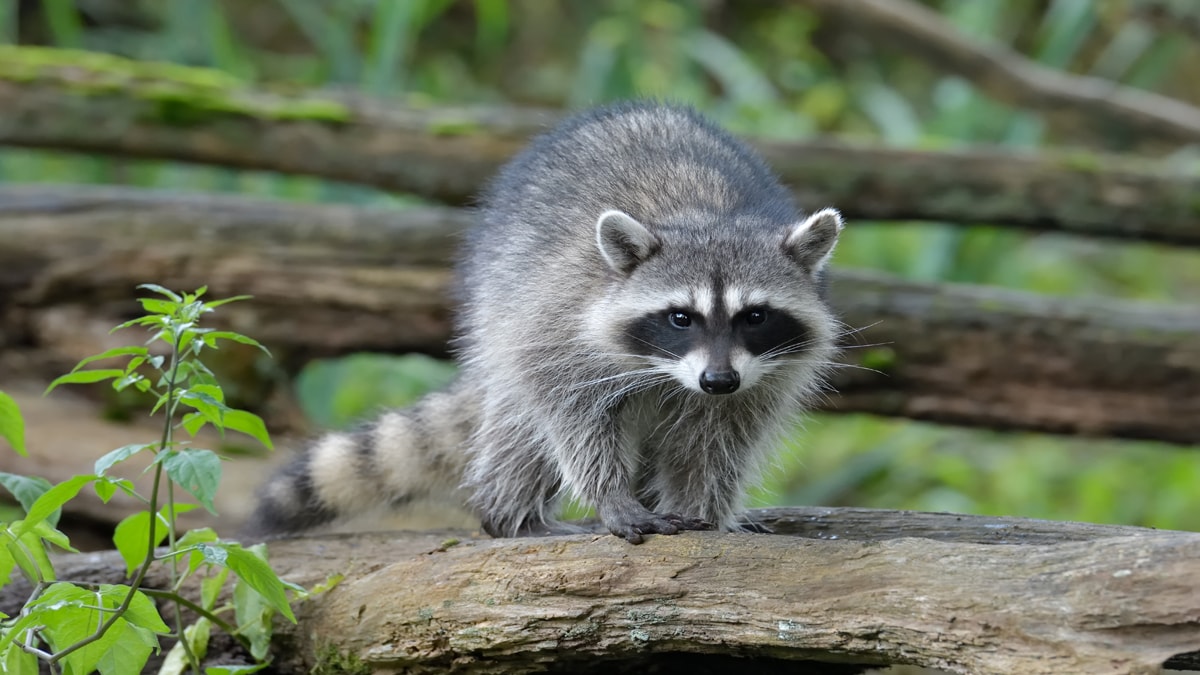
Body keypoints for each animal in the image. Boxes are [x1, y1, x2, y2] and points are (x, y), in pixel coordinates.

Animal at [250, 100, 844, 540]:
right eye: (681, 317)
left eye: (755, 316)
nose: (718, 380)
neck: (708, 218)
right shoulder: (560, 322)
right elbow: (570, 414)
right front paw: (610, 496)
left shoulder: (764, 375)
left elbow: (720, 440)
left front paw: (705, 508)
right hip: (498, 302)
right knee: (519, 428)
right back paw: (512, 515)